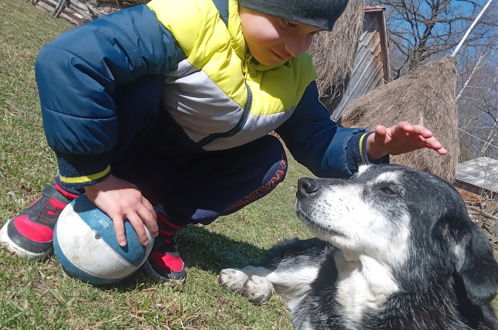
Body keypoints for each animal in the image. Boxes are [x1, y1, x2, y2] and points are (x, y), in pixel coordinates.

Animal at [219, 164, 498, 328]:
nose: (303, 185)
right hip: (308, 263)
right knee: (267, 269)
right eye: (355, 175)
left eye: (388, 190)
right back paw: (243, 278)